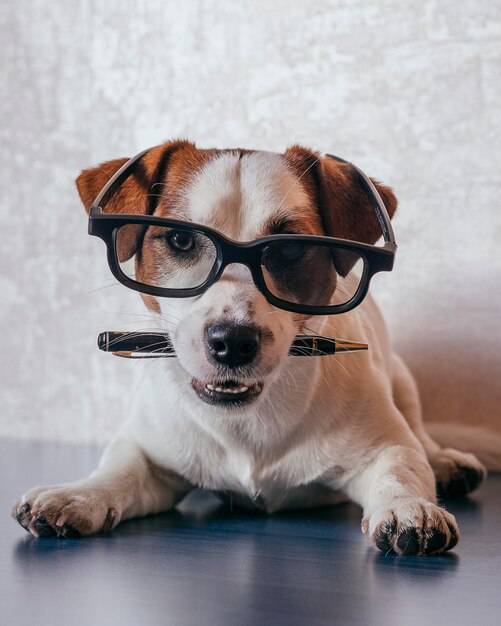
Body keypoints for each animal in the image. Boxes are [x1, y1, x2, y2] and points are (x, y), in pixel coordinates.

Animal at [13, 140, 486, 552]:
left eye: (291, 248)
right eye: (180, 240)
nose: (232, 341)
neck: (248, 418)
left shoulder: (385, 446)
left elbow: (400, 468)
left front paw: (409, 506)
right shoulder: (150, 453)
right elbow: (120, 469)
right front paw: (78, 495)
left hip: (403, 382)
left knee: (420, 435)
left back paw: (446, 461)